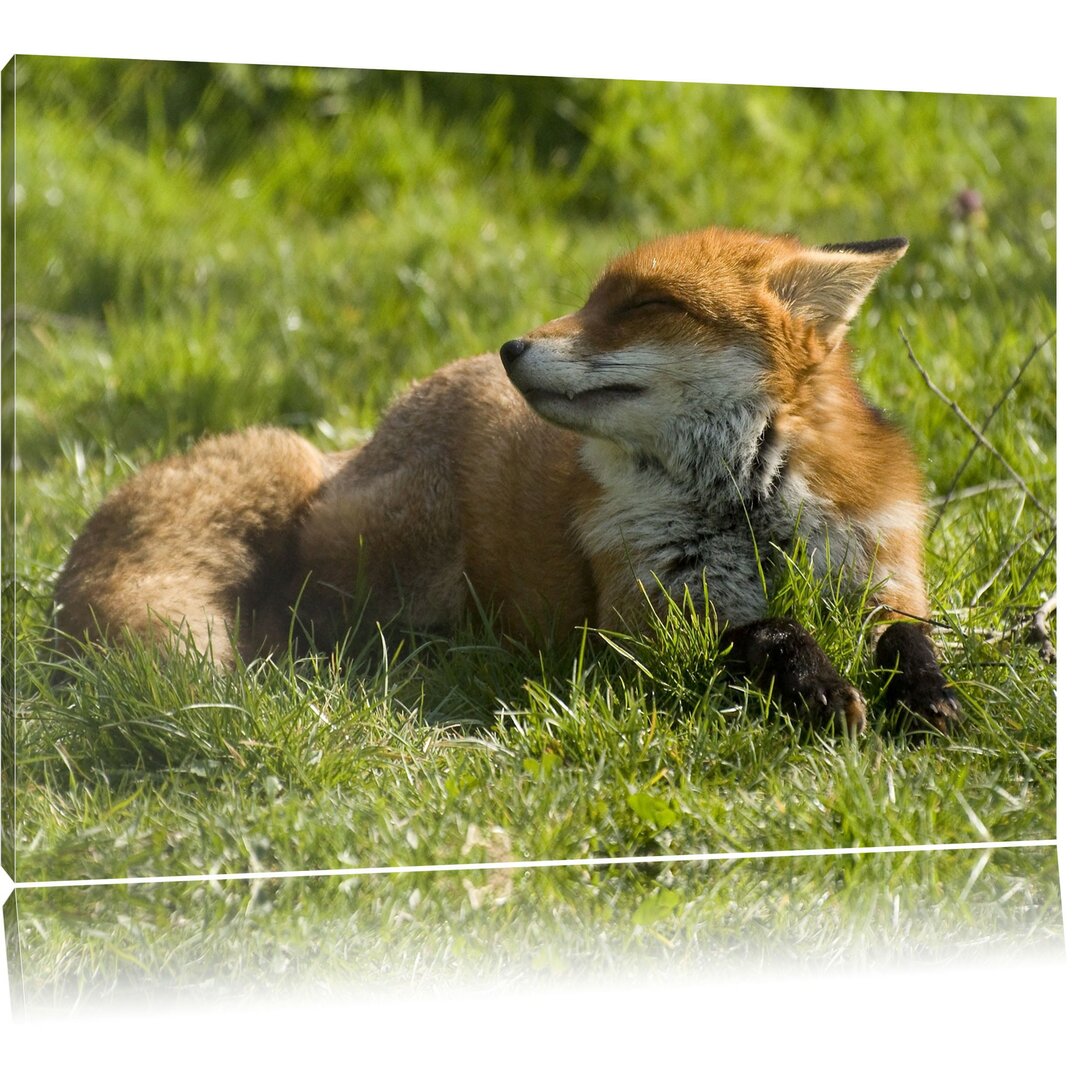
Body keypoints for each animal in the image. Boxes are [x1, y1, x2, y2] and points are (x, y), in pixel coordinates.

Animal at [52, 227, 963, 734]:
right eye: (591, 299)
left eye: (642, 307)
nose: (511, 347)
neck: (747, 510)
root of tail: (350, 448)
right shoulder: (646, 620)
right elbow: (770, 631)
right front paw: (822, 691)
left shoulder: (881, 571)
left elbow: (909, 638)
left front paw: (929, 700)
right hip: (408, 563)